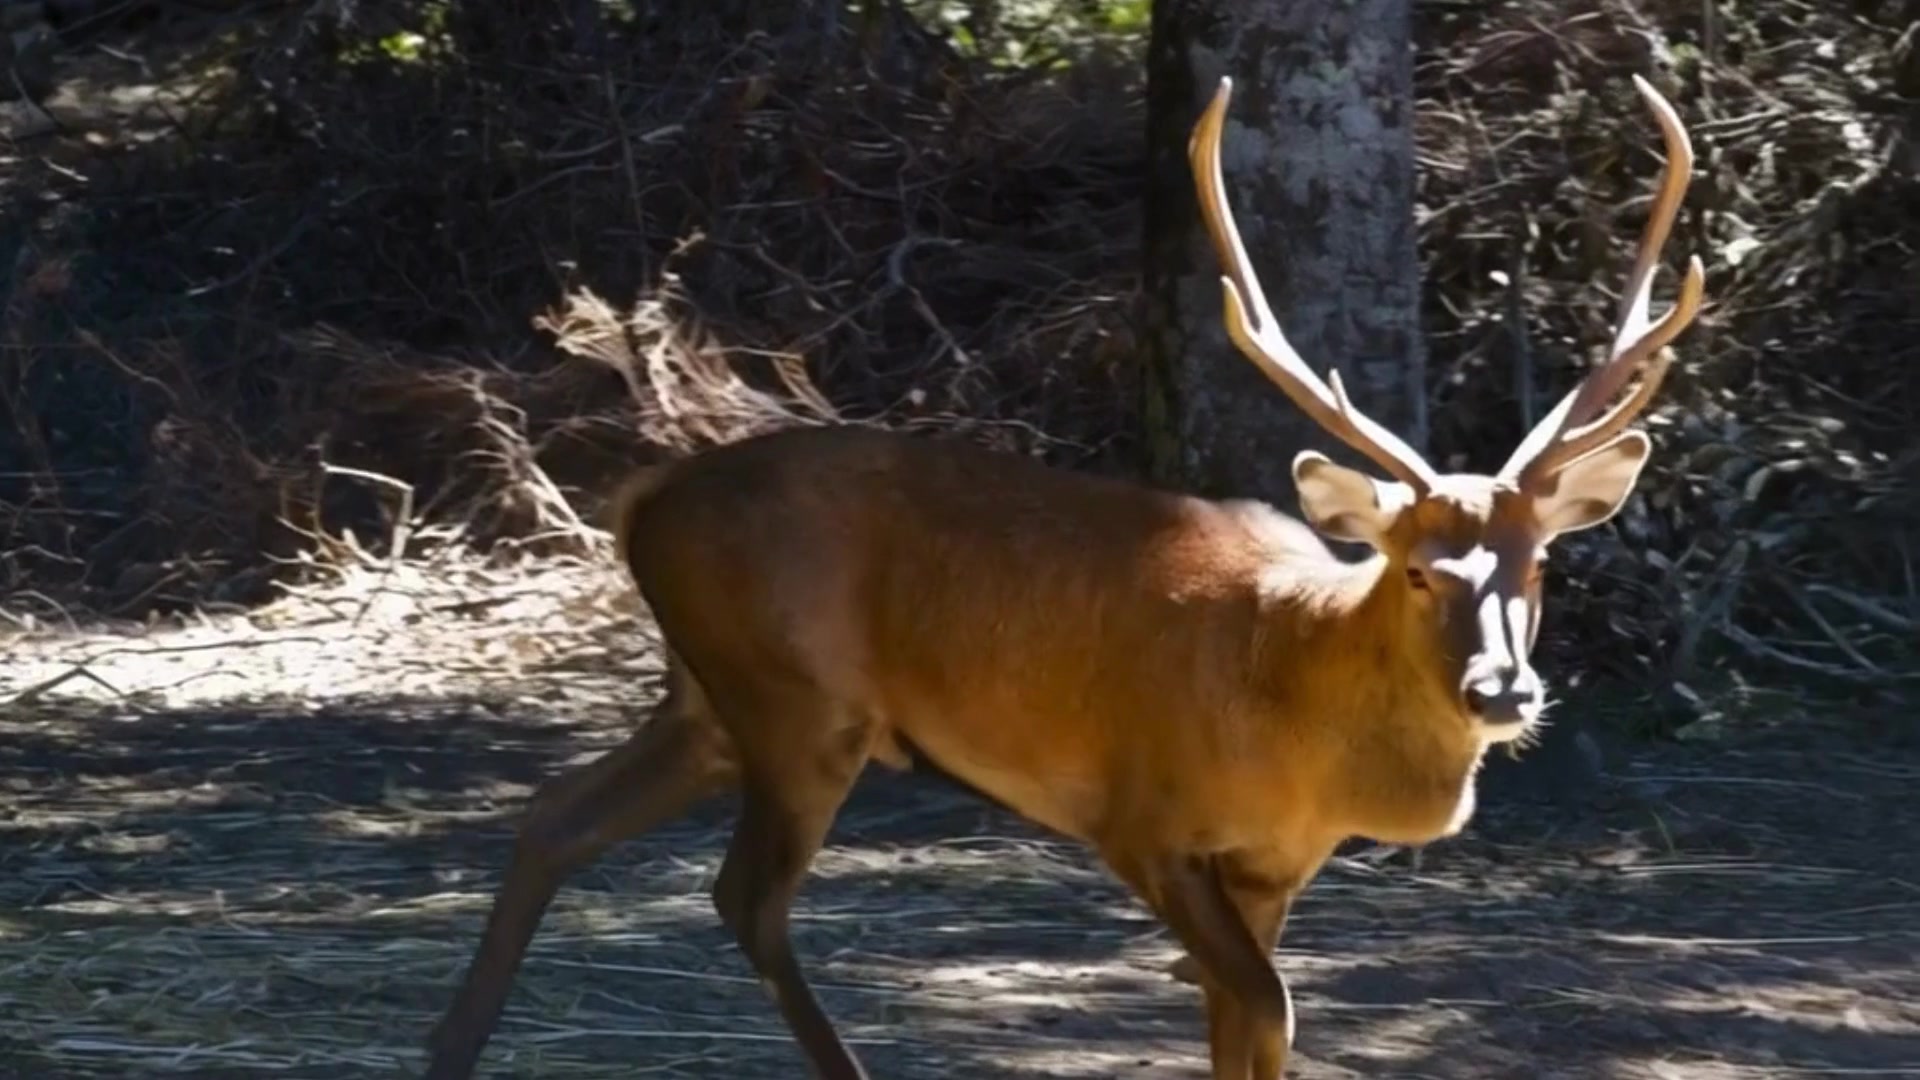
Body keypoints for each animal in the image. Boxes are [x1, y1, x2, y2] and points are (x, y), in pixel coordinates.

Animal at [422, 73, 1702, 1080]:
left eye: (1541, 564)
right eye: (1422, 573)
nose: (1504, 691)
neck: (1299, 706)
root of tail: (644, 498)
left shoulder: (1275, 866)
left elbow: (1244, 1018)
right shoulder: (1139, 816)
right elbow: (1266, 1007)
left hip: (709, 696)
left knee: (554, 815)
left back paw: (452, 1049)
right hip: (796, 703)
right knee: (744, 893)